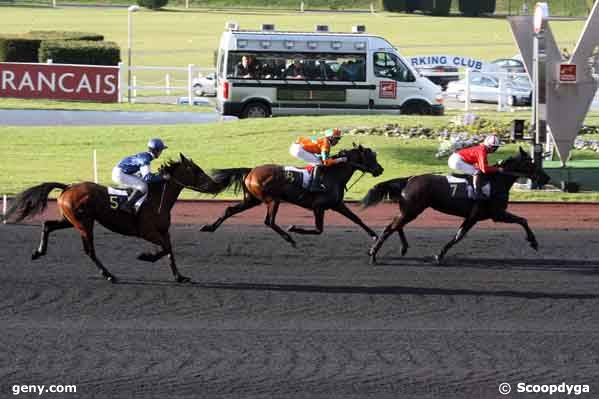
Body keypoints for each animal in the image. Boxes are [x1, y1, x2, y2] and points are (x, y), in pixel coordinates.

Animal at [4, 154, 220, 284]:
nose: (215, 185)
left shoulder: (163, 231)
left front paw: (180, 276)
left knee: (47, 224)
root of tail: (68, 187)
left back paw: (38, 252)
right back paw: (109, 275)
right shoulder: (147, 231)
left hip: (70, 219)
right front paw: (146, 256)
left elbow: (170, 251)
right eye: (197, 171)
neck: (158, 197)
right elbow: (165, 249)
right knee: (89, 250)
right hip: (84, 223)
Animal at [200, 145, 384, 245]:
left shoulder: (337, 205)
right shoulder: (318, 207)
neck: (333, 175)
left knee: (230, 210)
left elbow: (357, 219)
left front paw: (375, 236)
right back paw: (289, 238)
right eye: (371, 156)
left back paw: (209, 227)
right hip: (273, 199)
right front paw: (294, 228)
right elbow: (318, 230)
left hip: (253, 199)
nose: (380, 169)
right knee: (269, 221)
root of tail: (251, 170)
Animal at [360, 148, 552, 266]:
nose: (546, 177)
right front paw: (533, 242)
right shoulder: (496, 214)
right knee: (390, 227)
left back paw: (403, 247)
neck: (496, 181)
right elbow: (523, 220)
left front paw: (439, 255)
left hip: (410, 209)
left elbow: (458, 235)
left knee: (396, 225)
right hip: (413, 209)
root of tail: (410, 178)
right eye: (531, 163)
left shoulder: (474, 217)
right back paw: (373, 254)